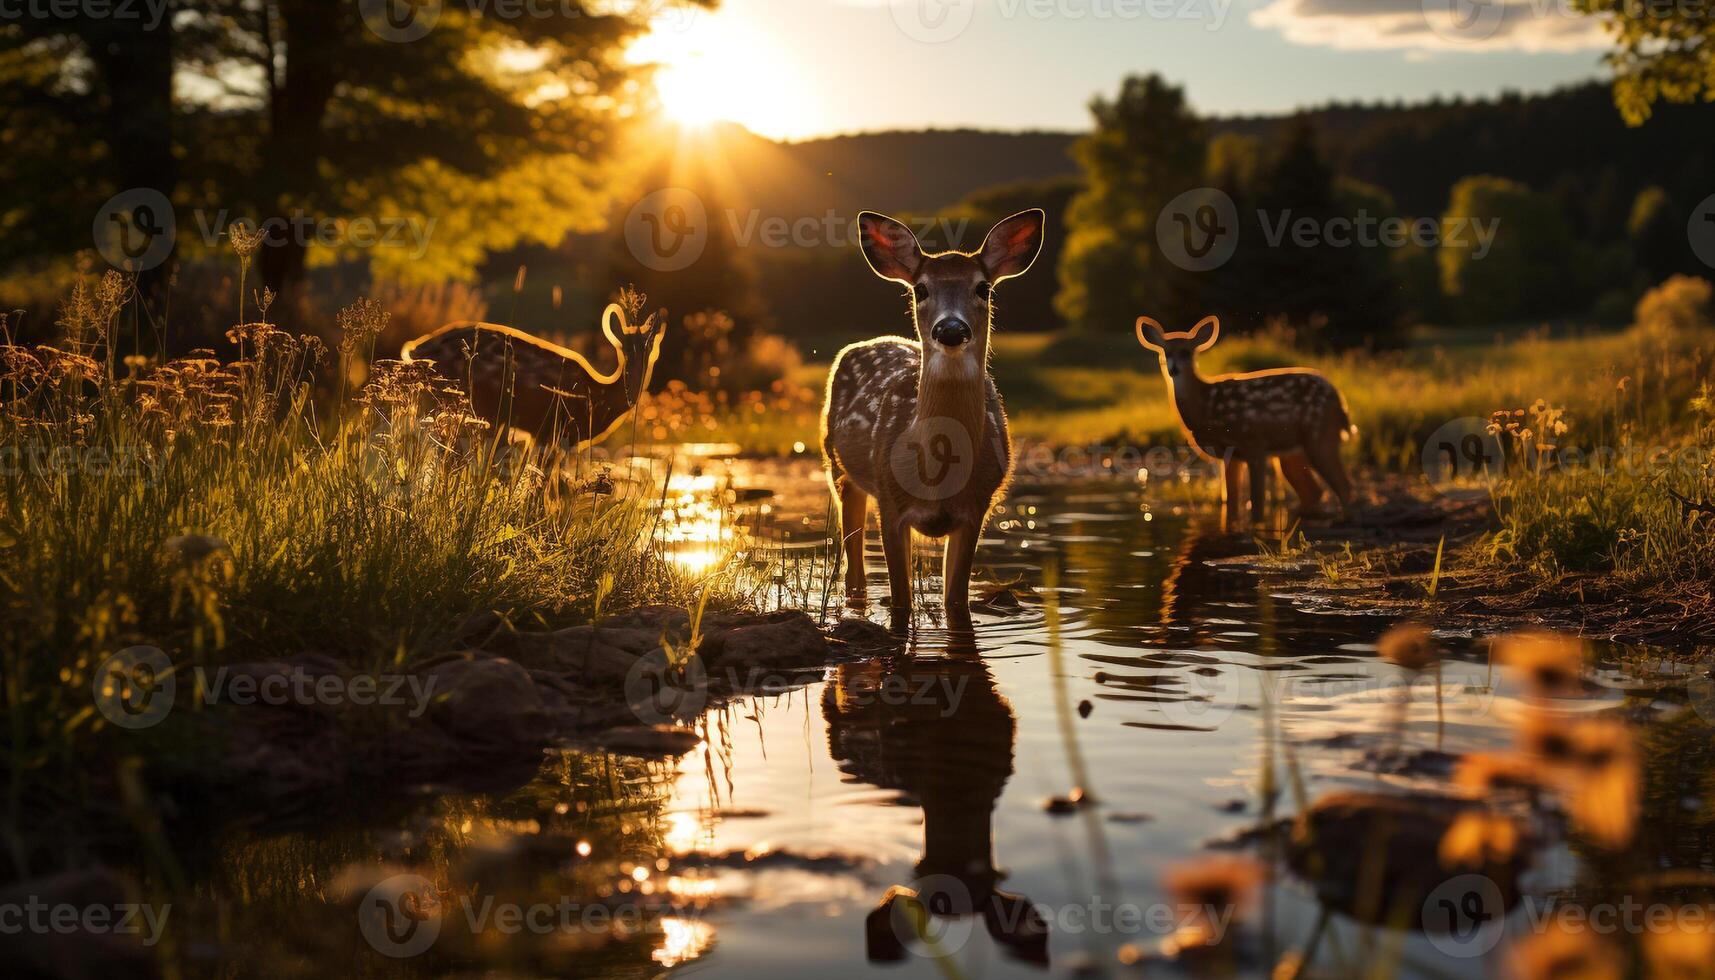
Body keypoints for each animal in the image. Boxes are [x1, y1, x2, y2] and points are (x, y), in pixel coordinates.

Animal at [404, 303, 665, 449]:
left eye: (652, 345)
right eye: (622, 348)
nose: (632, 385)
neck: (598, 397)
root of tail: (414, 348)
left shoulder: (538, 433)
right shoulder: (556, 431)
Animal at [819, 206, 1042, 610]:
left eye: (983, 288)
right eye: (921, 289)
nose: (951, 328)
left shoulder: (977, 507)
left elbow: (955, 601)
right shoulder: (890, 501)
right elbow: (901, 601)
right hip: (838, 469)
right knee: (854, 569)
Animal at [1131, 317, 1358, 525]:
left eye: (1187, 352)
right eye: (1166, 352)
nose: (1174, 369)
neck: (1207, 406)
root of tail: (1340, 402)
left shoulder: (1254, 443)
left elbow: (1257, 500)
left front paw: (1255, 527)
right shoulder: (1230, 454)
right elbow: (1230, 500)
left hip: (1319, 434)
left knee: (1343, 485)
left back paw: (1343, 520)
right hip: (1293, 451)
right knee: (1314, 491)